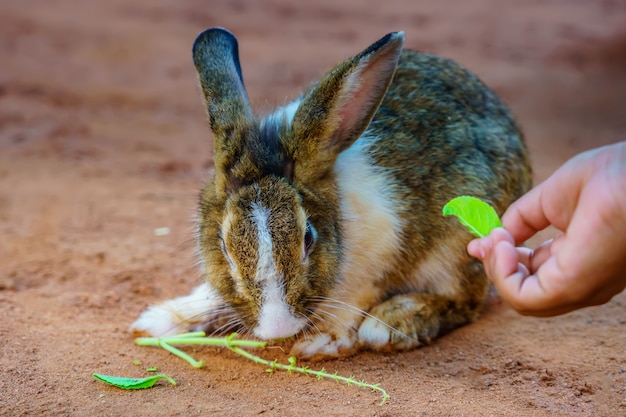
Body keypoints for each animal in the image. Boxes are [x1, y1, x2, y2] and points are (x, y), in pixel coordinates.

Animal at [129, 27, 528, 360]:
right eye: (224, 246)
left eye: (308, 238)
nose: (278, 327)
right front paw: (159, 320)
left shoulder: (379, 259)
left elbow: (353, 303)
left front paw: (322, 340)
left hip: (458, 244)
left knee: (465, 300)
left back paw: (390, 323)